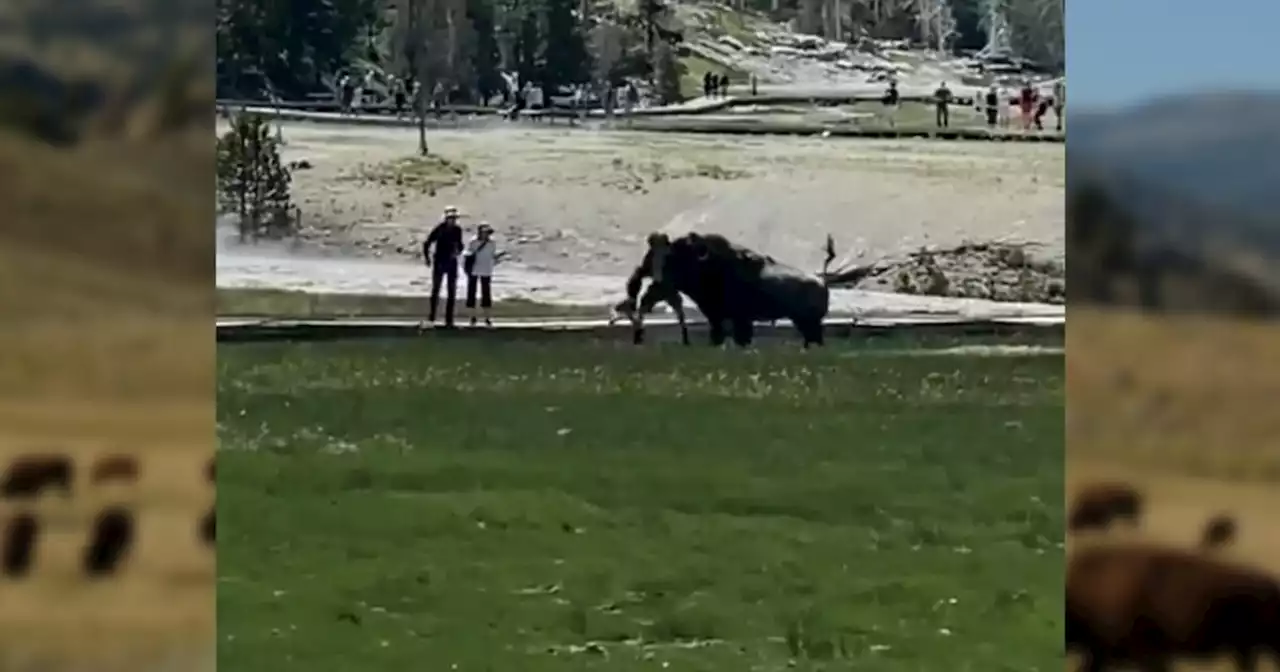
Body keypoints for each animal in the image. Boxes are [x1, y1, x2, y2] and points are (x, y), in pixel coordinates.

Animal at [614, 230, 834, 345]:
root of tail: (822, 285)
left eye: (677, 256)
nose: (655, 280)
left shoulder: (739, 320)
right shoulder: (717, 318)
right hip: (805, 324)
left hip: (809, 324)